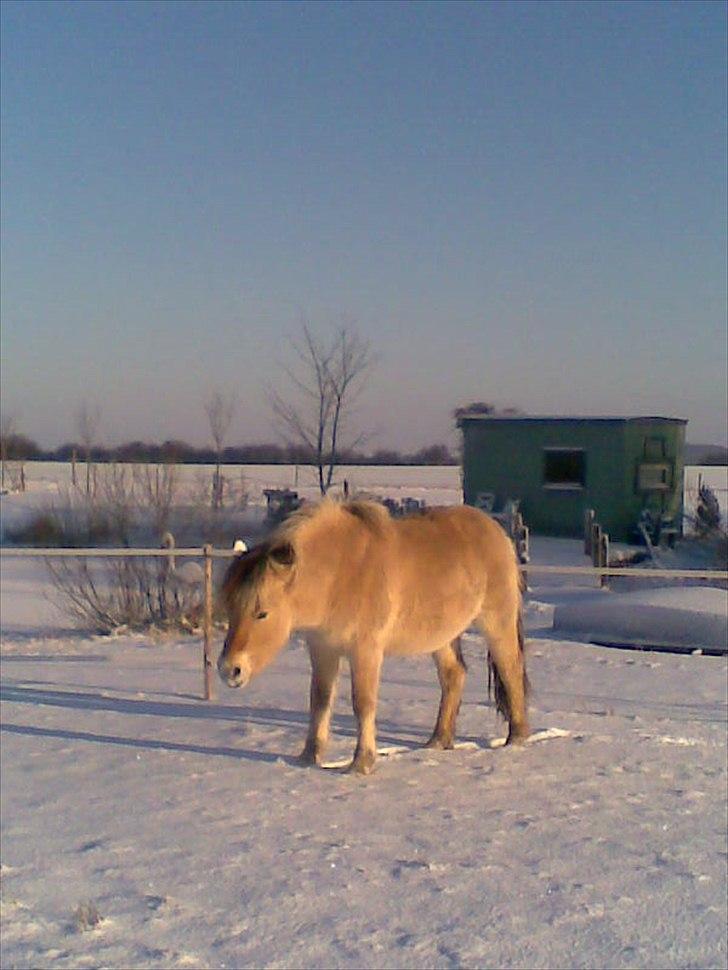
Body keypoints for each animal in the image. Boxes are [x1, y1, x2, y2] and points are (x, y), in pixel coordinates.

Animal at [216, 500, 528, 772]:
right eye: (229, 609)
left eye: (262, 613)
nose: (229, 670)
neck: (338, 574)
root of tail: (496, 530)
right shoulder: (323, 649)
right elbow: (320, 700)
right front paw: (308, 757)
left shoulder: (365, 651)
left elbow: (363, 703)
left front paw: (361, 763)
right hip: (441, 637)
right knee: (454, 675)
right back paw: (438, 740)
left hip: (496, 622)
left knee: (511, 670)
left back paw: (517, 738)